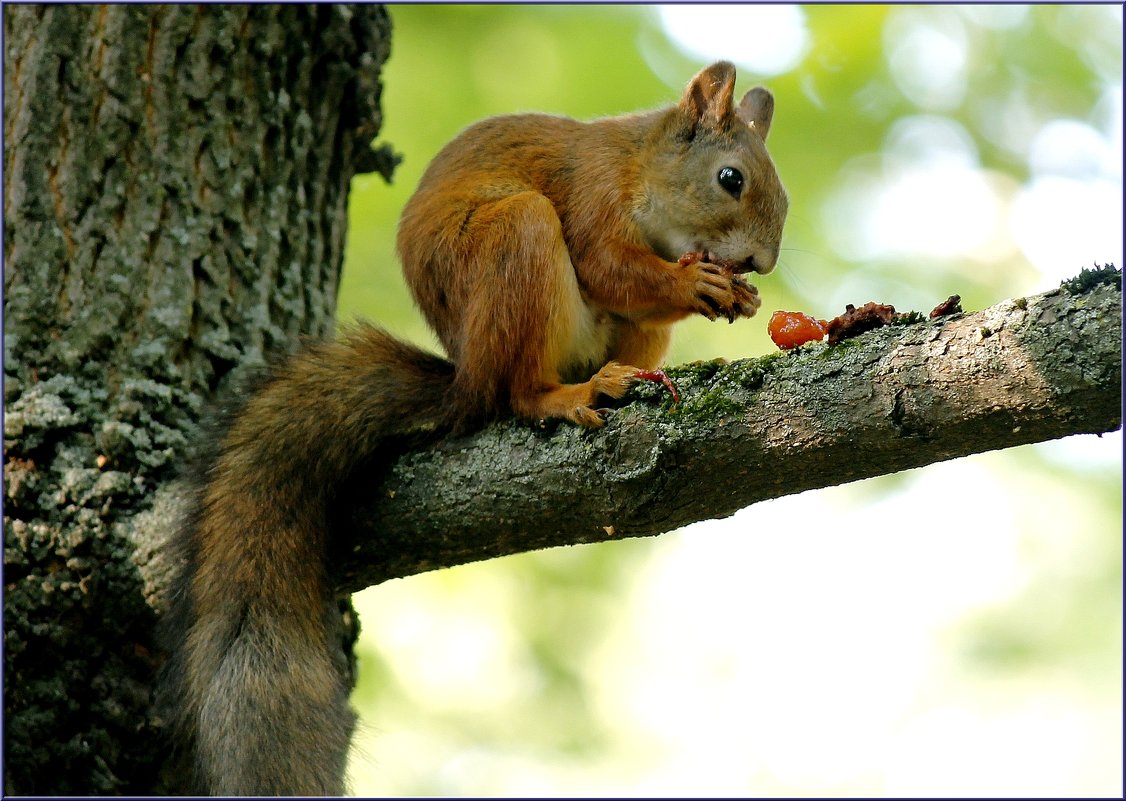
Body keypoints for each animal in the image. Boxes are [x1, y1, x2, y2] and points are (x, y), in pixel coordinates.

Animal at [163, 61, 788, 797]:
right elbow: (608, 265)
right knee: (517, 392)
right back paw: (567, 393)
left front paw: (739, 299)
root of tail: (466, 378)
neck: (643, 166)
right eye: (731, 178)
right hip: (516, 238)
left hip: (621, 330)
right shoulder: (594, 195)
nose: (762, 263)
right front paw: (695, 285)